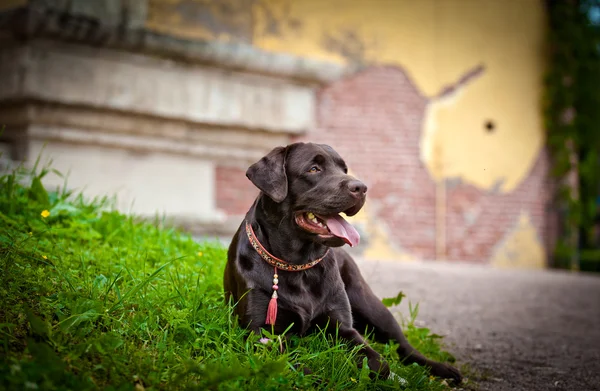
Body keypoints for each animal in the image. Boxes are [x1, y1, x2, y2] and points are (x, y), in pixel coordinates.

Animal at [223, 142, 462, 384]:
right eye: (314, 169)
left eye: (344, 169)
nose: (361, 187)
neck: (299, 266)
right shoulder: (261, 333)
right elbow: (298, 367)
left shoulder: (343, 328)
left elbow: (380, 363)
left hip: (370, 304)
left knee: (403, 346)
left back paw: (442, 369)